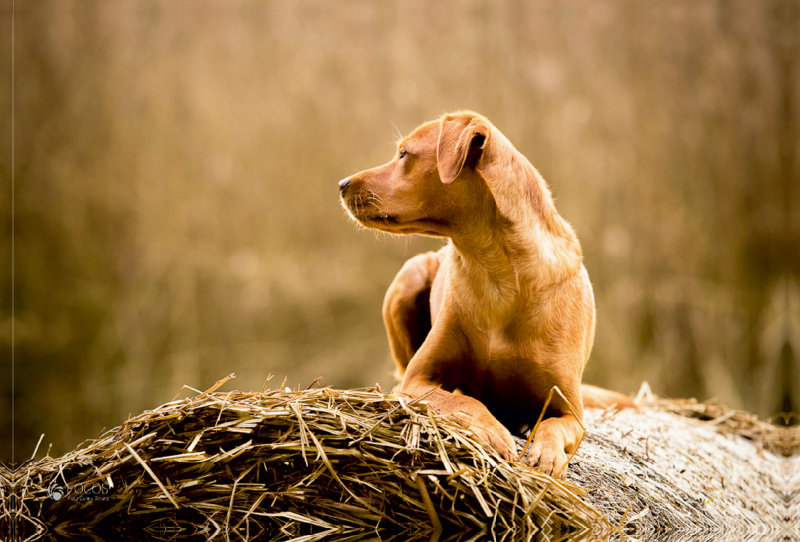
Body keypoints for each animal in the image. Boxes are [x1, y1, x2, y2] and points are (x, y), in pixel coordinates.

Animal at [336, 111, 632, 480]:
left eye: (404, 154)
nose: (341, 183)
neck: (497, 272)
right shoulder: (415, 382)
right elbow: (467, 401)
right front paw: (492, 432)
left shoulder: (570, 410)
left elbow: (553, 427)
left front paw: (547, 456)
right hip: (410, 276)